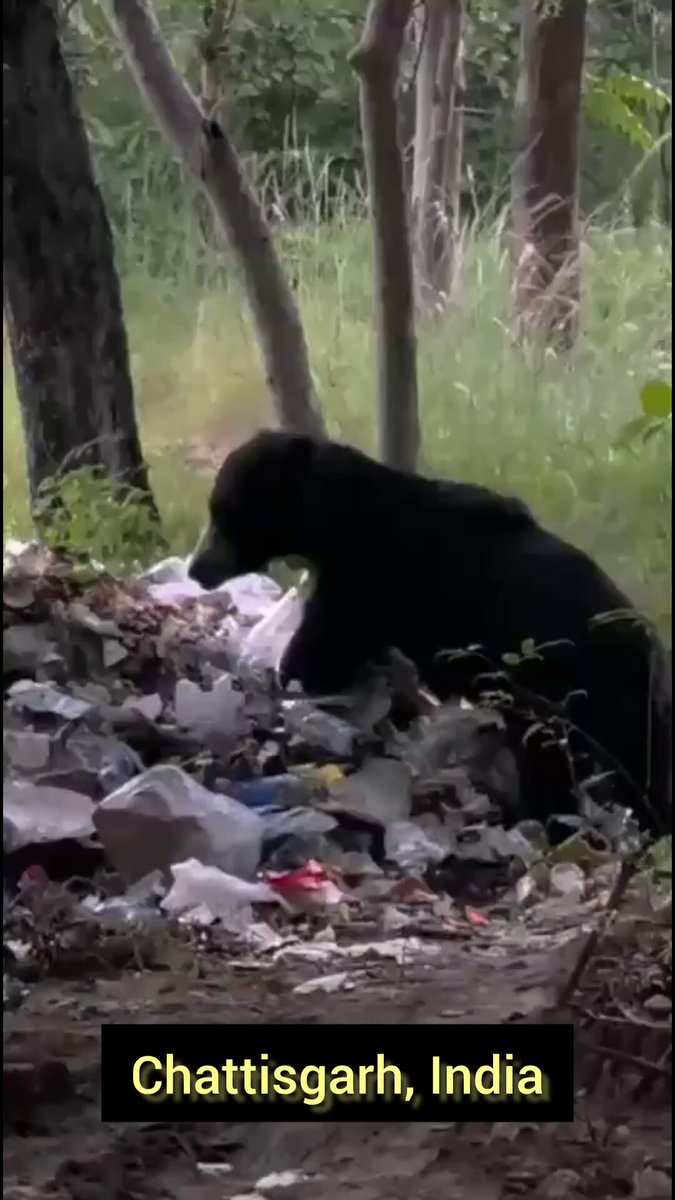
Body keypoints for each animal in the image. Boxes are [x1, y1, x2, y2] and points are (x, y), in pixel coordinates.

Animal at [189, 429, 672, 835]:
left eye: (222, 513)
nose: (197, 568)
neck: (340, 521)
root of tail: (650, 646)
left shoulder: (370, 582)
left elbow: (319, 655)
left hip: (581, 693)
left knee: (575, 763)